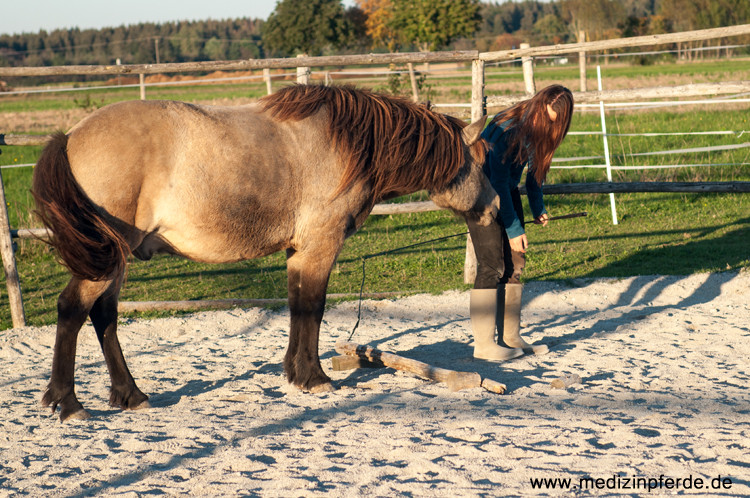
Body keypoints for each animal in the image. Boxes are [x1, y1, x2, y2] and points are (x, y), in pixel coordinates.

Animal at [32, 82, 500, 420]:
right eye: (481, 161)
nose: (495, 206)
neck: (345, 145)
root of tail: (69, 137)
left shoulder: (298, 250)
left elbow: (296, 307)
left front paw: (294, 373)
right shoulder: (321, 246)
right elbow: (313, 307)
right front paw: (315, 378)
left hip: (114, 260)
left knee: (104, 317)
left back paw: (130, 394)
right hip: (107, 259)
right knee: (73, 310)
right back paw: (68, 403)